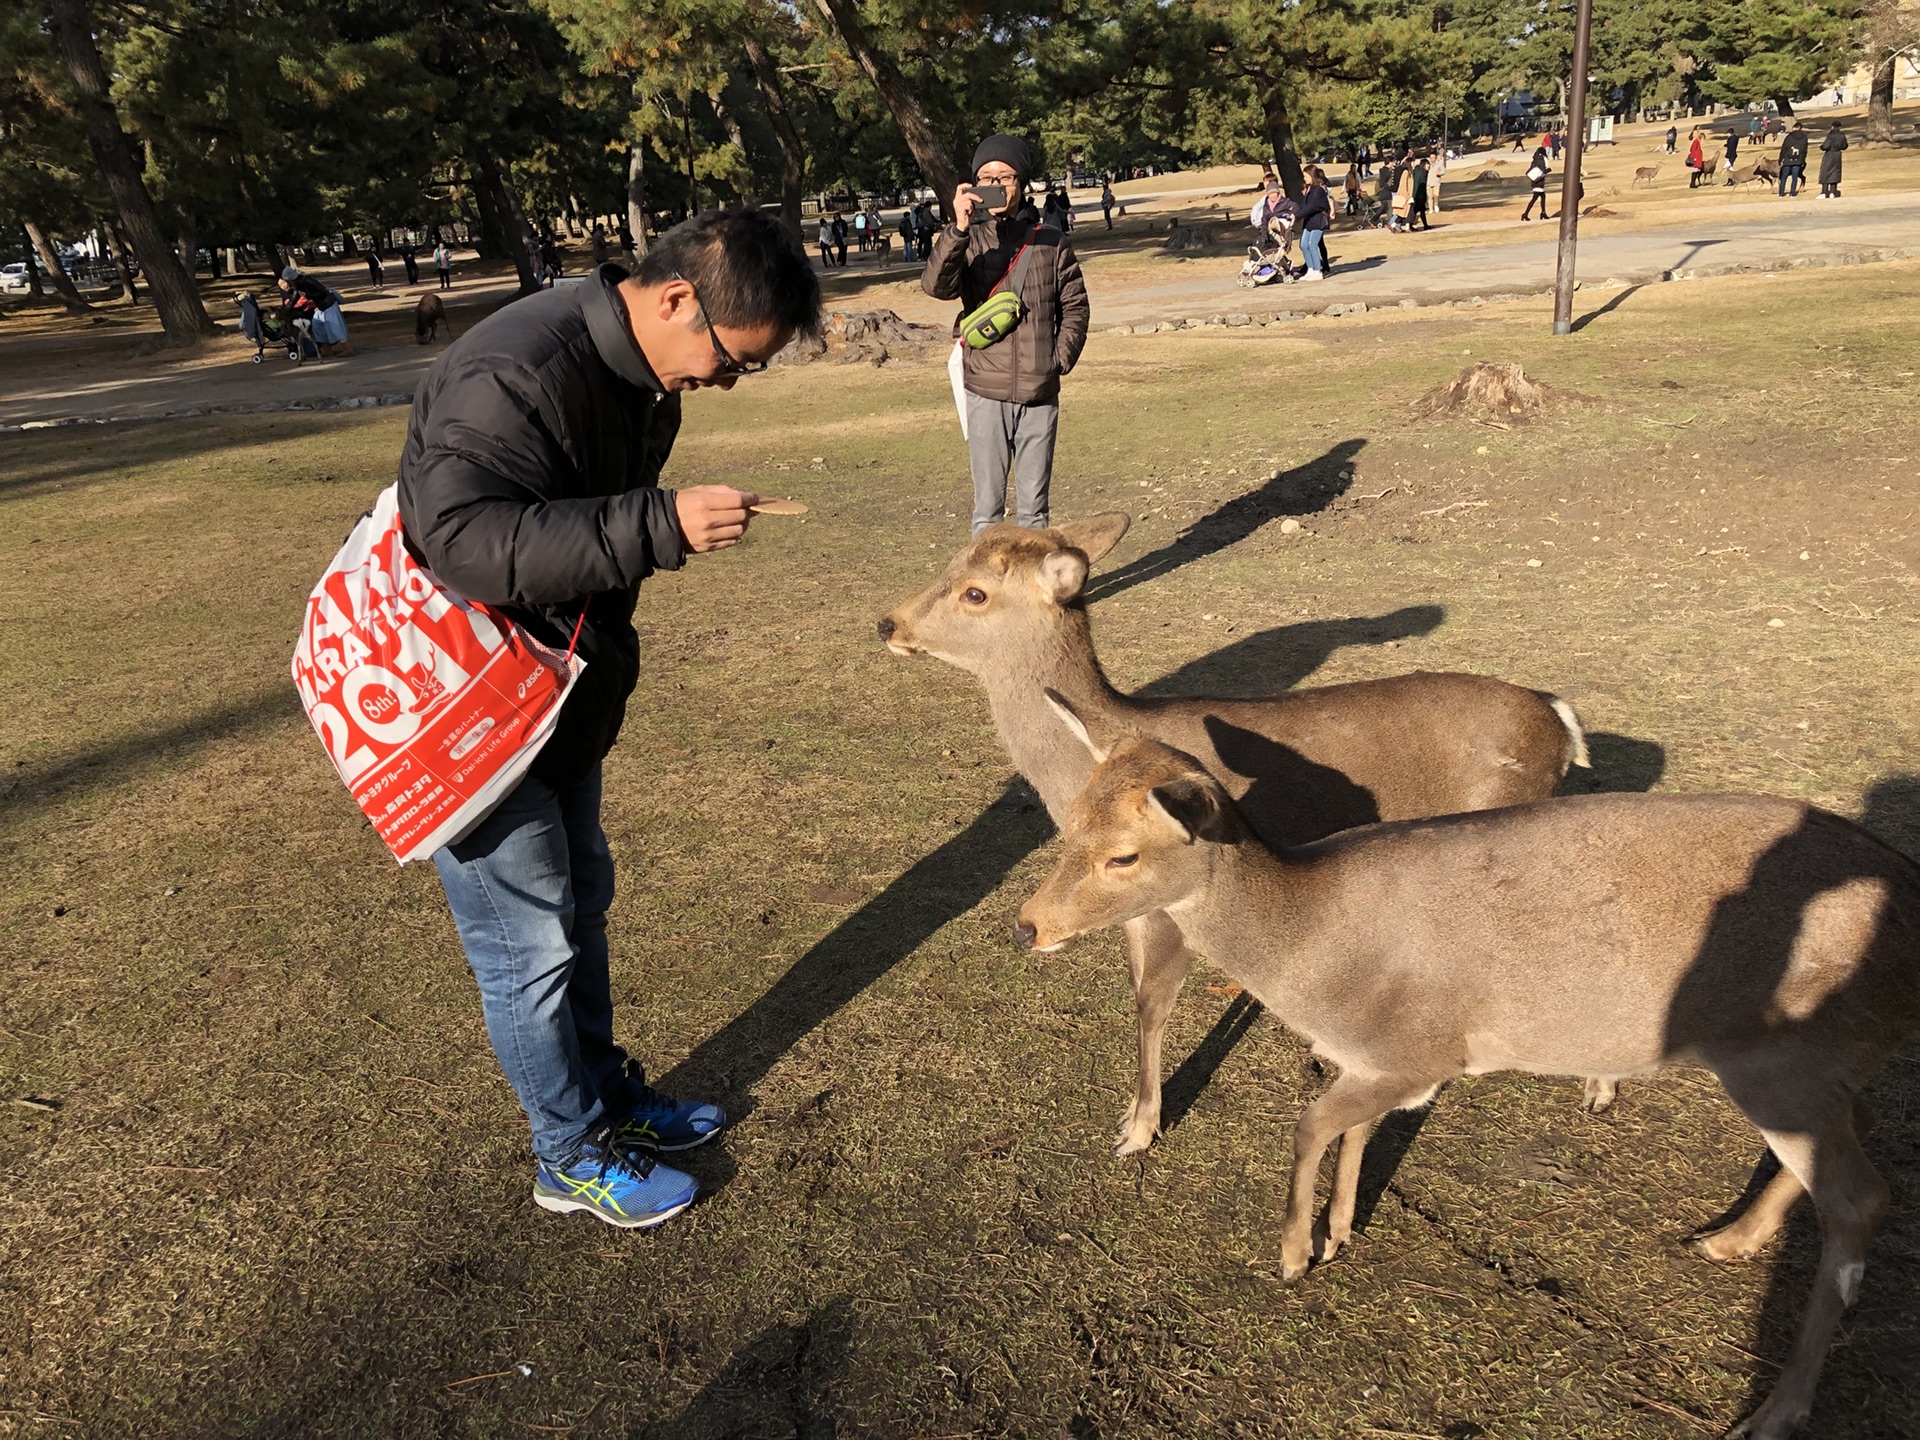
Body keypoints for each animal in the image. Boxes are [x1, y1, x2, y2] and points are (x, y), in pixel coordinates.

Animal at [879, 514, 1597, 1159]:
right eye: (952, 560)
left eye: (975, 592)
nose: (888, 624)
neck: (1085, 757)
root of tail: (1561, 723)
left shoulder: (1175, 901)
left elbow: (1151, 1004)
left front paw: (1138, 1130)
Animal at [1013, 718, 1912, 1440]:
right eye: (1069, 822)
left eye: (1123, 854)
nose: (1028, 925)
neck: (1313, 965)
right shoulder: (1380, 1060)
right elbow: (1355, 1128)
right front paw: (1342, 1229)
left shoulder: (1420, 1049)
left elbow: (1312, 1122)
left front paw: (1295, 1254)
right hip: (1821, 1069)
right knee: (1860, 1140)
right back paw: (1727, 1239)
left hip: (1786, 1060)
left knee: (1862, 1198)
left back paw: (1775, 1409)